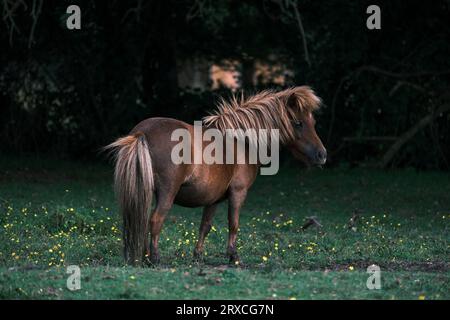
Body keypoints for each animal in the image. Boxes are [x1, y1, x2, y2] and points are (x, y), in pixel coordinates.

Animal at [103, 86, 326, 266]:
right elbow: (233, 223)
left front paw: (198, 256)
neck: (241, 140)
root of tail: (142, 134)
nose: (322, 155)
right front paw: (233, 256)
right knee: (155, 220)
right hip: (167, 193)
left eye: (313, 121)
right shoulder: (238, 192)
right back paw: (154, 258)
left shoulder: (213, 199)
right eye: (298, 123)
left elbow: (205, 226)